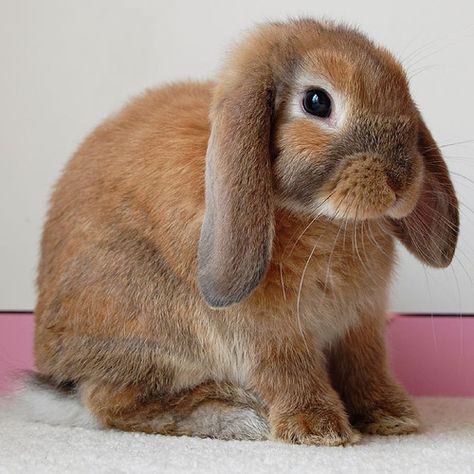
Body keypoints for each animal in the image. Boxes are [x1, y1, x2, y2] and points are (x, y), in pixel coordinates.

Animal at [12, 18, 460, 446]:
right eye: (317, 101)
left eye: (402, 89)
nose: (401, 180)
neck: (326, 221)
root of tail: (56, 374)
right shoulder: (267, 333)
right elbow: (291, 374)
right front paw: (319, 429)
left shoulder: (360, 326)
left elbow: (366, 369)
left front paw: (392, 417)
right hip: (151, 327)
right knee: (108, 401)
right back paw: (237, 415)